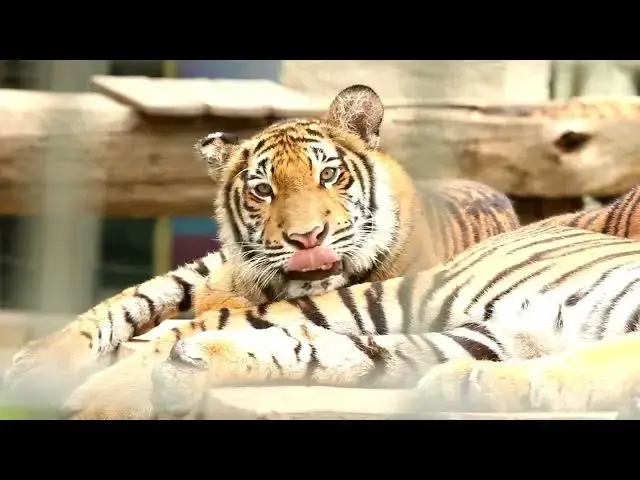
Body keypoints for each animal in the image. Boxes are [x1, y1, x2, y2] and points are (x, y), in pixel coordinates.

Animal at [2, 84, 520, 415]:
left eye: (329, 174)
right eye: (263, 190)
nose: (308, 238)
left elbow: (189, 338)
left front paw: (103, 404)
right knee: (134, 298)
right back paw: (35, 363)